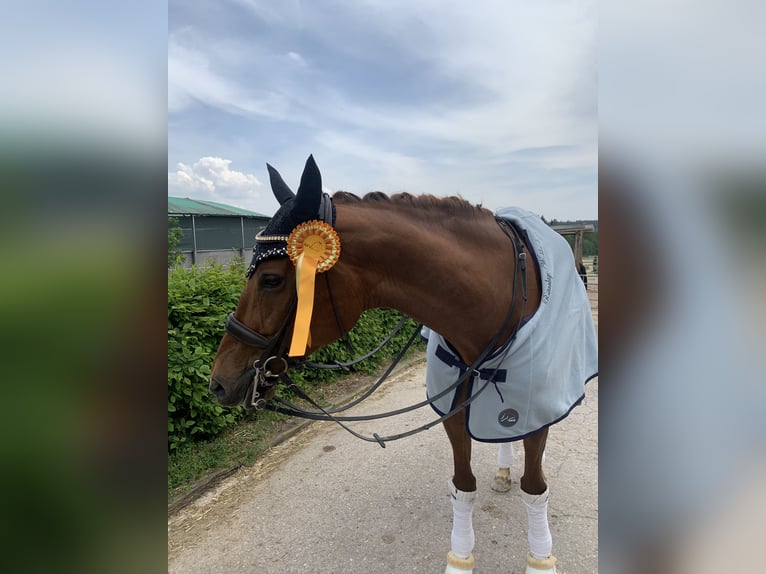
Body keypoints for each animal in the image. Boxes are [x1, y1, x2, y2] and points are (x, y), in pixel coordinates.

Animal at [209, 156, 598, 574]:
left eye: (270, 279)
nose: (219, 382)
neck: (495, 299)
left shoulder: (535, 413)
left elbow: (535, 489)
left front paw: (540, 561)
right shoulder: (454, 409)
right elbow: (463, 485)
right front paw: (460, 560)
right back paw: (503, 469)